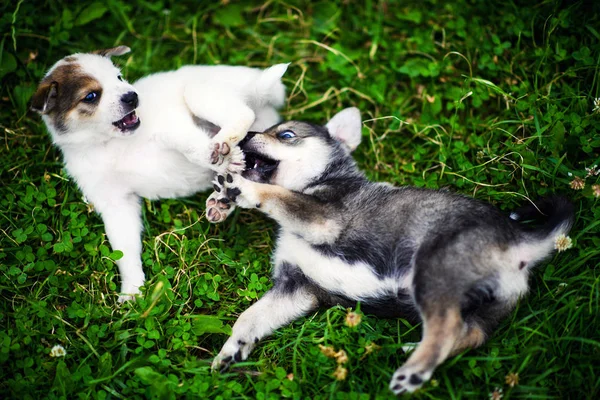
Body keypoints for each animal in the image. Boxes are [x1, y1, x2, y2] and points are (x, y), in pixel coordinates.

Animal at [31, 47, 290, 300]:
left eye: (119, 77)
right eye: (91, 96)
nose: (132, 96)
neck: (109, 144)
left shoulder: (172, 126)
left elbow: (191, 146)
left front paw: (215, 156)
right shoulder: (115, 204)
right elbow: (124, 250)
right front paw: (132, 290)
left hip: (198, 91)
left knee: (243, 113)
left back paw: (223, 144)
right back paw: (221, 201)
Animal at [209, 108, 576, 396]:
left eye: (286, 135)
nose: (246, 135)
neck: (319, 181)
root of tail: (520, 239)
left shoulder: (324, 218)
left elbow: (278, 196)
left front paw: (240, 188)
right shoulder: (296, 286)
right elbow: (250, 318)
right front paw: (232, 349)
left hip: (434, 270)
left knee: (446, 326)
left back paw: (414, 370)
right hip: (484, 306)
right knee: (469, 333)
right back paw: (416, 353)